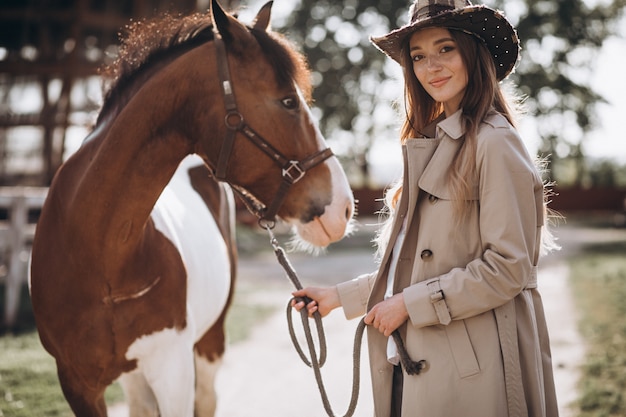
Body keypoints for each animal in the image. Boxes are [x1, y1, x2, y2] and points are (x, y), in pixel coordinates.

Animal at [29, 1, 354, 414]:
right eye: (288, 101)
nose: (344, 208)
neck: (102, 263)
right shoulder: (77, 383)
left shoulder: (174, 373)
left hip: (209, 342)